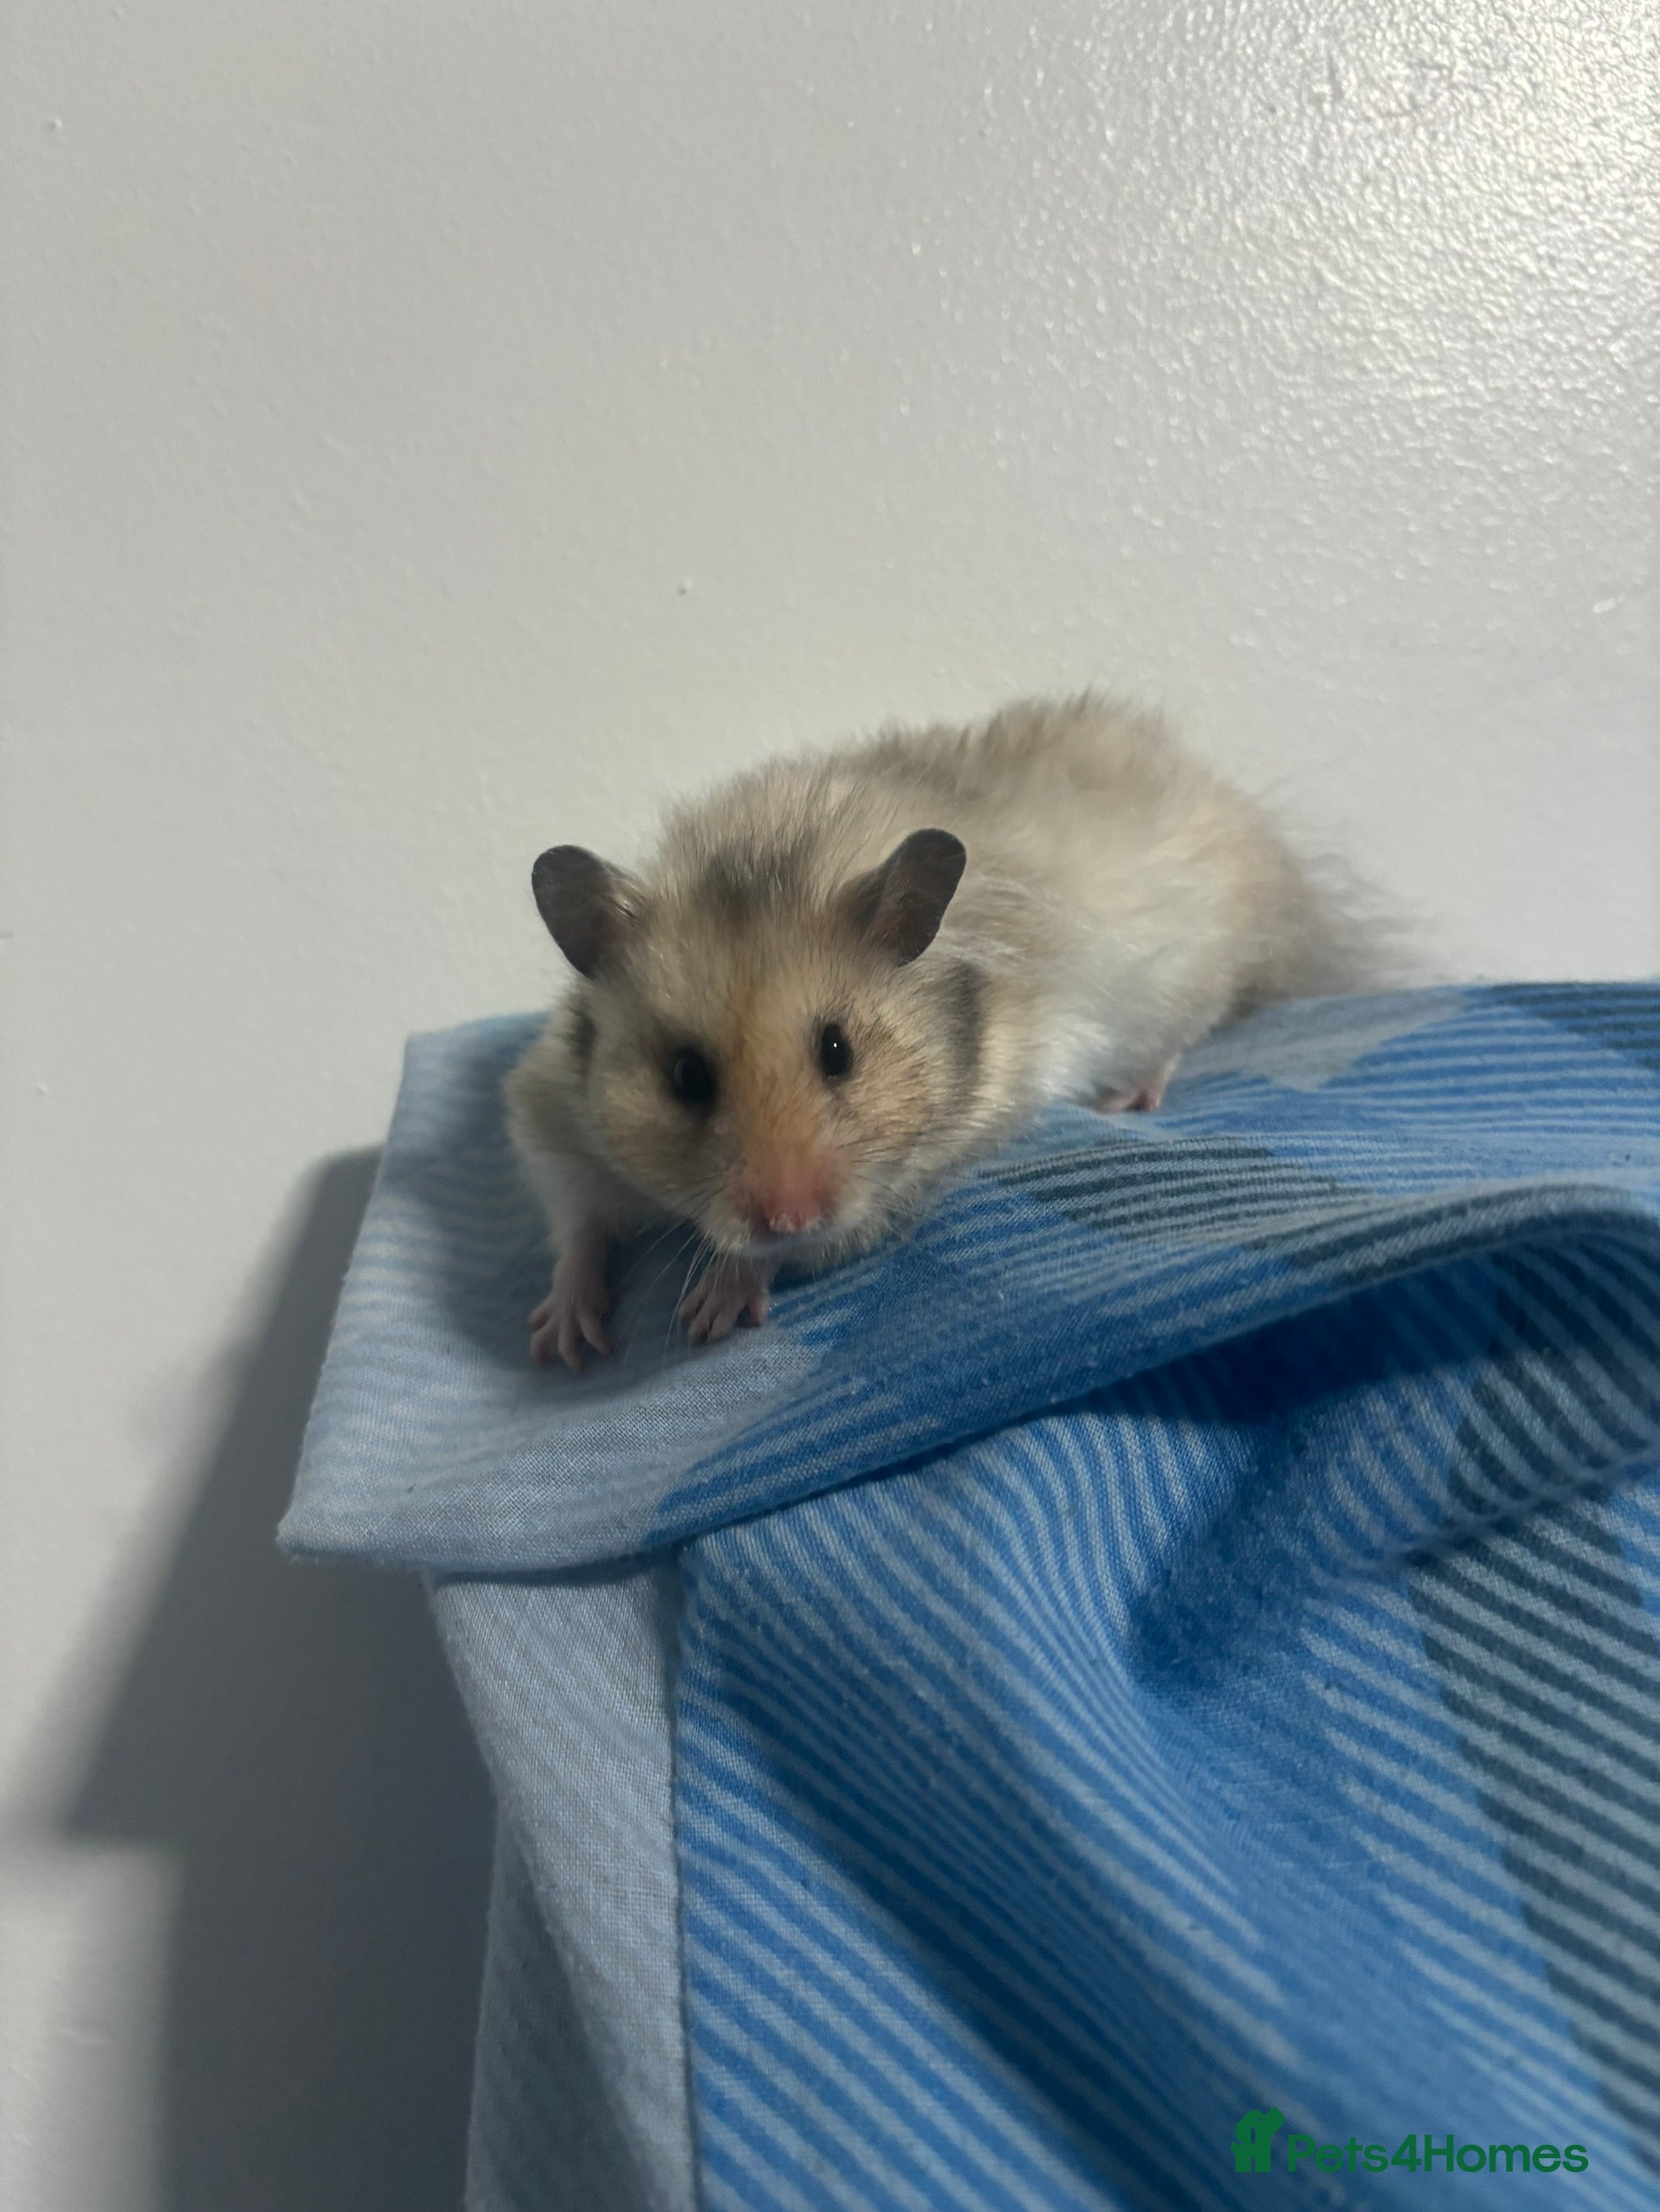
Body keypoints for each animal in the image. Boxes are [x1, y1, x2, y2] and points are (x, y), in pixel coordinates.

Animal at [506, 693, 1366, 1369]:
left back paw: (1132, 1096)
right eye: (686, 1076)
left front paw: (713, 1309)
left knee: (1189, 1032)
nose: (787, 1214)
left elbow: (798, 1252)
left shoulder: (903, 1176)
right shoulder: (547, 1106)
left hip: (1191, 974)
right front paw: (562, 1344)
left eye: (839, 1051)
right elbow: (575, 1222)